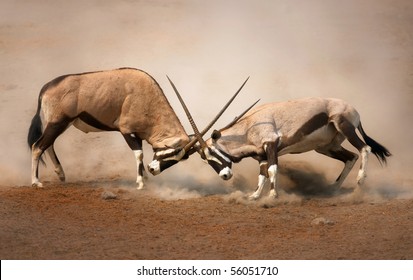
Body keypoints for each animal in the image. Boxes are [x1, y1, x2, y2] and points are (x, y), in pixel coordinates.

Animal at [28, 66, 248, 187]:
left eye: (179, 158)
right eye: (172, 152)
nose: (154, 170)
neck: (146, 97)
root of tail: (46, 88)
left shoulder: (139, 135)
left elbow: (140, 155)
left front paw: (145, 178)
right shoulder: (127, 131)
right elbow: (139, 154)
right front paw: (141, 182)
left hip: (61, 124)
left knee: (48, 145)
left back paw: (61, 174)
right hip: (58, 123)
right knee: (38, 146)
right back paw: (36, 182)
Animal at [169, 90, 392, 199]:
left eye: (212, 153)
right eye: (205, 159)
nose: (225, 175)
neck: (249, 127)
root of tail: (353, 109)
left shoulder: (271, 145)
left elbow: (273, 170)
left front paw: (273, 195)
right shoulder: (260, 156)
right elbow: (262, 175)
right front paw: (254, 196)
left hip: (344, 126)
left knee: (364, 148)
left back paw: (360, 182)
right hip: (326, 147)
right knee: (350, 157)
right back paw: (333, 189)